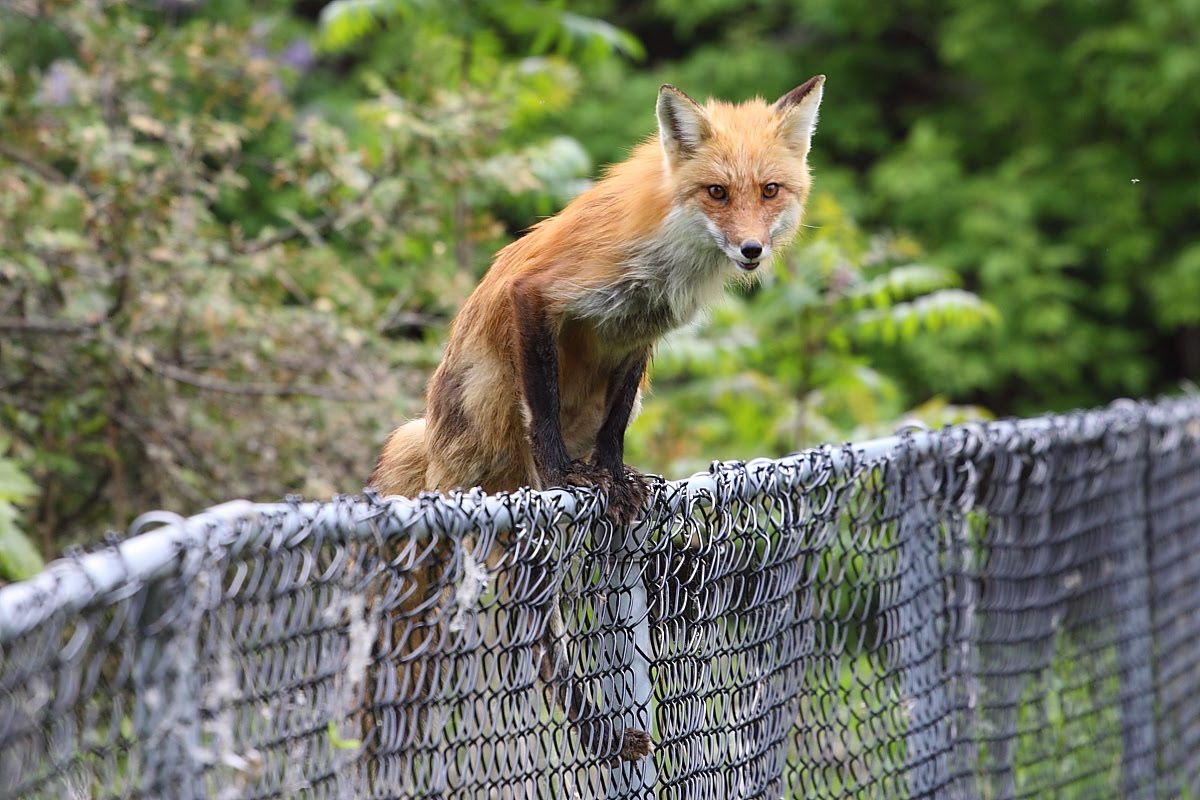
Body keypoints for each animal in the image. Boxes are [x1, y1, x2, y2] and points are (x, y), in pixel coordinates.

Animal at [368, 76, 825, 767]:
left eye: (770, 190)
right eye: (717, 192)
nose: (751, 250)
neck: (669, 255)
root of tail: (438, 446)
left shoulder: (637, 341)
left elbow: (612, 433)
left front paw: (615, 476)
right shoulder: (543, 295)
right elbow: (546, 412)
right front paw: (568, 472)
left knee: (539, 639)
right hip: (491, 427)